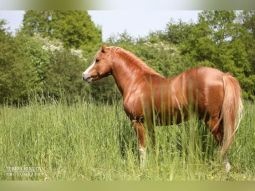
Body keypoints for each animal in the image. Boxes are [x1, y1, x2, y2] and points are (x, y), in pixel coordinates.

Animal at [83, 45, 243, 172]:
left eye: (97, 60)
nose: (84, 76)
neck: (136, 82)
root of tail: (223, 75)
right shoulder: (150, 124)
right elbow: (153, 146)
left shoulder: (137, 122)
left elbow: (142, 148)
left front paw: (143, 170)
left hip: (211, 120)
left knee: (222, 142)